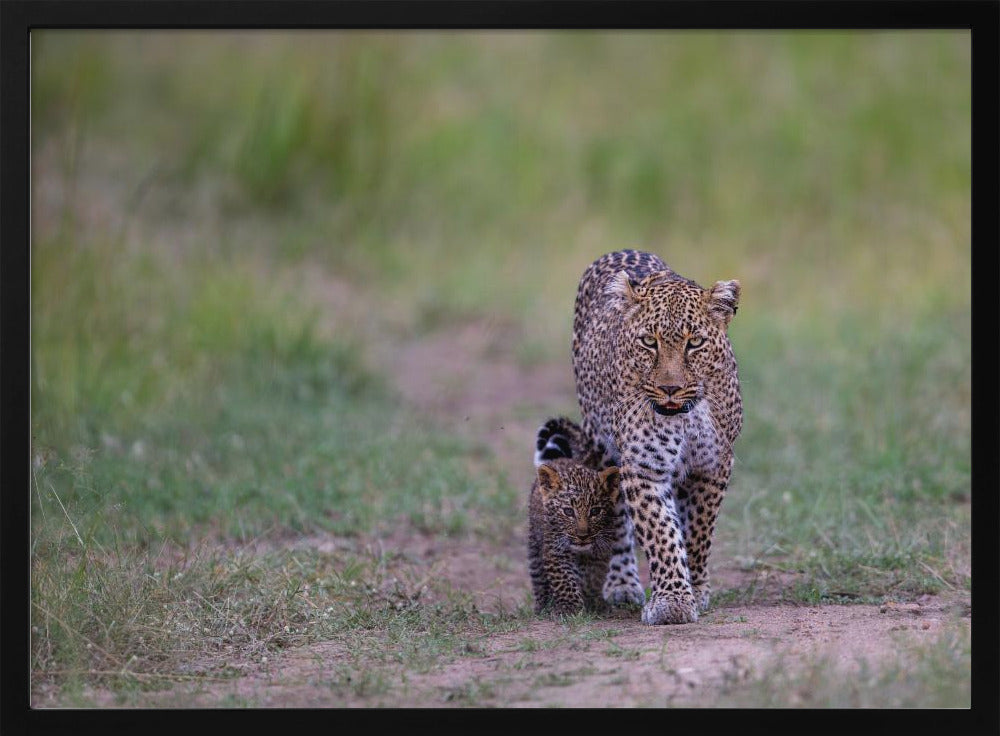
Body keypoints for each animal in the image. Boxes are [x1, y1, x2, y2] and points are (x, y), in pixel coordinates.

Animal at [528, 428, 620, 620]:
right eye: (568, 512)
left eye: (595, 511)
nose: (582, 535)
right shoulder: (555, 549)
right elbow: (564, 580)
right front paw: (570, 608)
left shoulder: (601, 551)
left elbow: (592, 578)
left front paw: (592, 602)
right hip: (534, 542)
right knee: (538, 575)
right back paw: (542, 605)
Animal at [568, 250, 740, 624]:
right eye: (649, 342)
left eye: (695, 343)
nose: (670, 388)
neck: (686, 415)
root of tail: (621, 249)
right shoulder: (644, 465)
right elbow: (660, 532)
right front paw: (672, 602)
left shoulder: (713, 465)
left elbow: (698, 531)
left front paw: (695, 589)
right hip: (600, 446)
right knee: (617, 518)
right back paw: (621, 584)